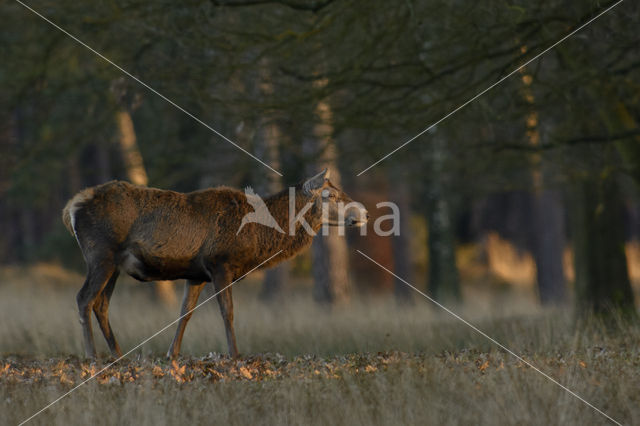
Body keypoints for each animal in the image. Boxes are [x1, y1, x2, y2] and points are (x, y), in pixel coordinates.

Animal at [63, 170, 370, 360]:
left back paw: (118, 355)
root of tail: (71, 207)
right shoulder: (221, 264)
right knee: (84, 298)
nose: (365, 212)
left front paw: (172, 354)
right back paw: (93, 356)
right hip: (101, 254)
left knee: (101, 304)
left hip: (113, 264)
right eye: (330, 195)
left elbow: (184, 313)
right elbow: (228, 312)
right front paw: (235, 355)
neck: (258, 238)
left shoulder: (196, 275)